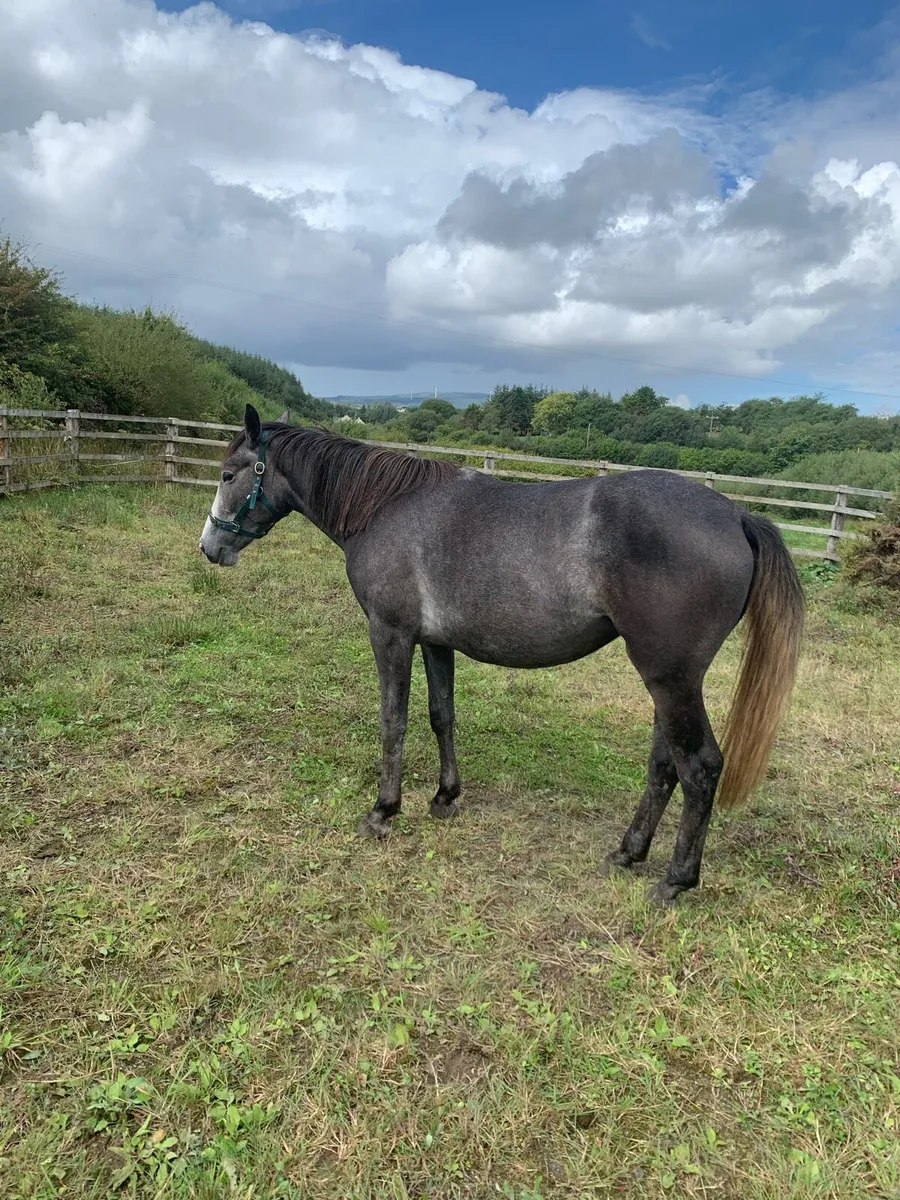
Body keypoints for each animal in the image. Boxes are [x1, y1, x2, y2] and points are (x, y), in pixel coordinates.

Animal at [199, 404, 804, 905]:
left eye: (229, 475)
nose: (210, 547)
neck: (386, 507)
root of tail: (736, 516)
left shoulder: (390, 633)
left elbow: (394, 720)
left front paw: (384, 810)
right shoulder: (435, 641)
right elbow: (441, 714)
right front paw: (445, 797)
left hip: (671, 678)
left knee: (699, 766)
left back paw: (675, 880)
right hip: (668, 681)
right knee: (665, 765)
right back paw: (628, 853)